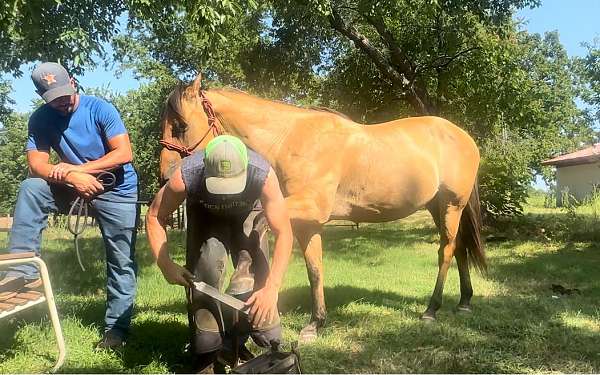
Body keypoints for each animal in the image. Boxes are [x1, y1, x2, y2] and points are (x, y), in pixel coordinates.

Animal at [157, 75, 486, 342]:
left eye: (181, 126)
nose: (165, 177)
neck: (291, 139)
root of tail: (465, 137)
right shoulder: (308, 222)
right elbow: (315, 270)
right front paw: (316, 324)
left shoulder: (307, 208)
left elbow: (257, 224)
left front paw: (244, 279)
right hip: (437, 207)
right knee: (458, 248)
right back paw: (464, 302)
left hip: (451, 205)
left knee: (446, 250)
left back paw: (432, 309)